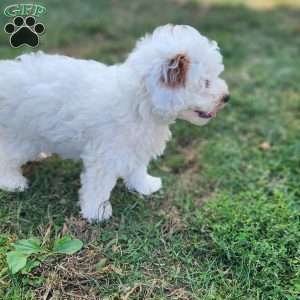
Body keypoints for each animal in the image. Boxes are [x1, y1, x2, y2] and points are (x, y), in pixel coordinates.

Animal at [0, 24, 229, 221]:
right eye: (206, 82)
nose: (227, 97)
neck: (140, 102)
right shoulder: (105, 157)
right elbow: (98, 186)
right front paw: (97, 212)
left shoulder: (137, 147)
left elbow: (137, 169)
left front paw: (145, 186)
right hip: (22, 135)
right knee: (6, 158)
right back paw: (13, 183)